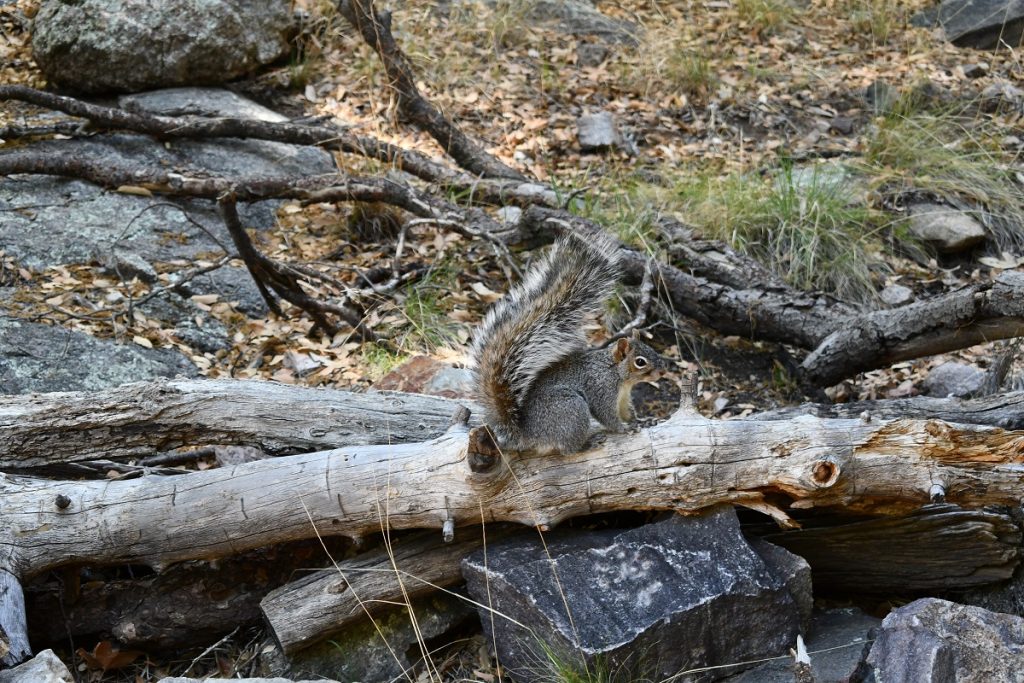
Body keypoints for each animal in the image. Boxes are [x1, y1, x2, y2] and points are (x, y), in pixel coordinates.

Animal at [471, 232, 663, 454]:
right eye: (640, 361)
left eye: (651, 349)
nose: (662, 372)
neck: (617, 375)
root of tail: (529, 435)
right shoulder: (600, 388)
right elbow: (607, 416)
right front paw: (624, 428)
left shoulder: (623, 398)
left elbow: (626, 412)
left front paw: (641, 421)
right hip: (571, 408)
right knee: (568, 449)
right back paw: (587, 444)